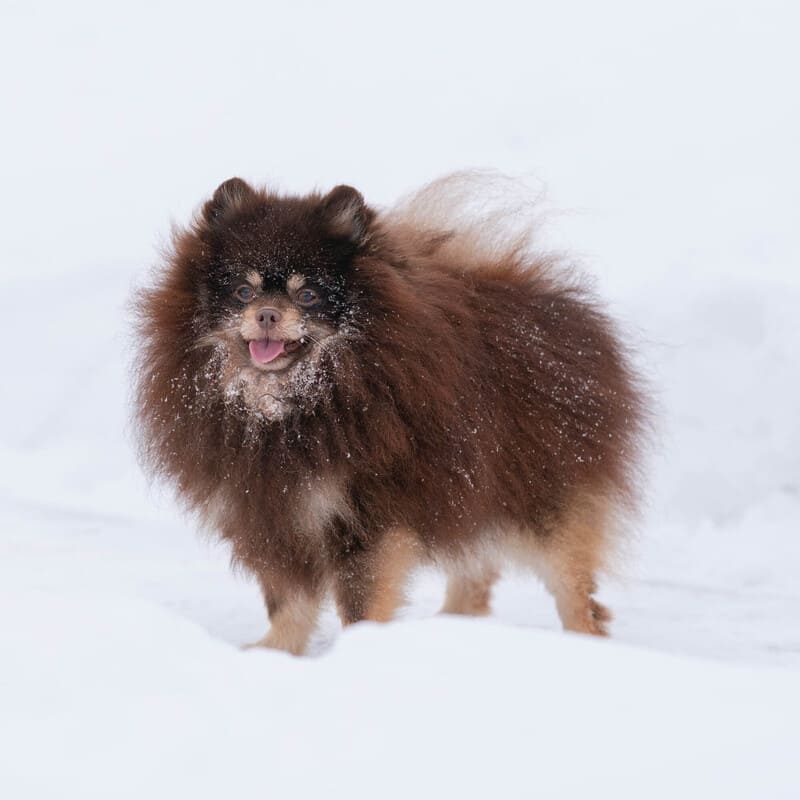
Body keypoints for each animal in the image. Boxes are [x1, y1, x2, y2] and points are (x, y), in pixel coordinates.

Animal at [134, 172, 648, 652]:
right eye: (243, 291)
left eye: (308, 295)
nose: (266, 314)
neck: (284, 409)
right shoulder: (267, 511)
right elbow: (287, 600)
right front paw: (275, 652)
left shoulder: (364, 516)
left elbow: (359, 602)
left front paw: (357, 650)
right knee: (474, 572)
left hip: (540, 496)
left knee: (574, 591)